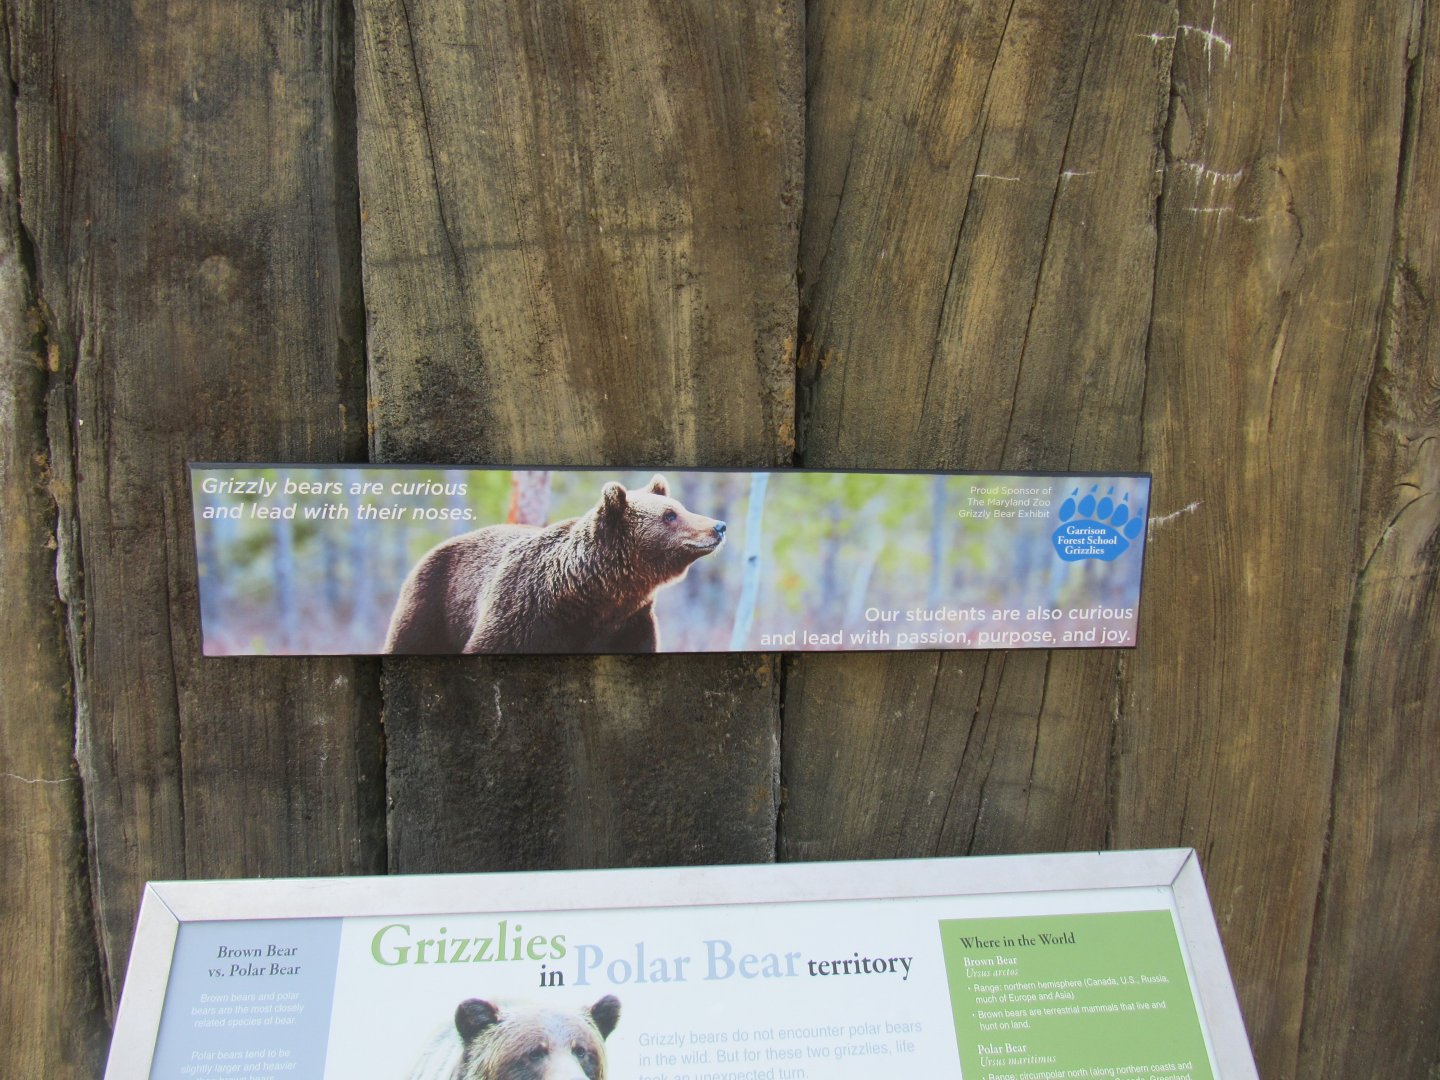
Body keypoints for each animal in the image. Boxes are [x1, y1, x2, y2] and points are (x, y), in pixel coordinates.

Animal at [383, 475, 726, 654]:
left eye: (679, 507)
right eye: (669, 515)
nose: (718, 526)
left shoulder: (628, 624)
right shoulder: (521, 613)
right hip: (432, 604)